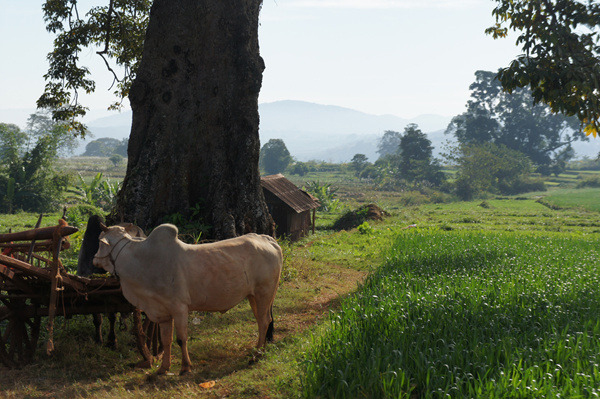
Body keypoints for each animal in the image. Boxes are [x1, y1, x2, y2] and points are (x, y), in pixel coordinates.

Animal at [92, 223, 284, 376]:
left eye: (100, 242)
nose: (94, 260)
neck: (141, 261)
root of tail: (267, 239)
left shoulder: (179, 308)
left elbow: (181, 339)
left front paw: (185, 367)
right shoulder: (162, 313)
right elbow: (166, 341)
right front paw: (163, 368)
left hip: (264, 292)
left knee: (264, 321)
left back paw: (257, 355)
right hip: (253, 296)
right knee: (262, 320)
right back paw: (258, 351)